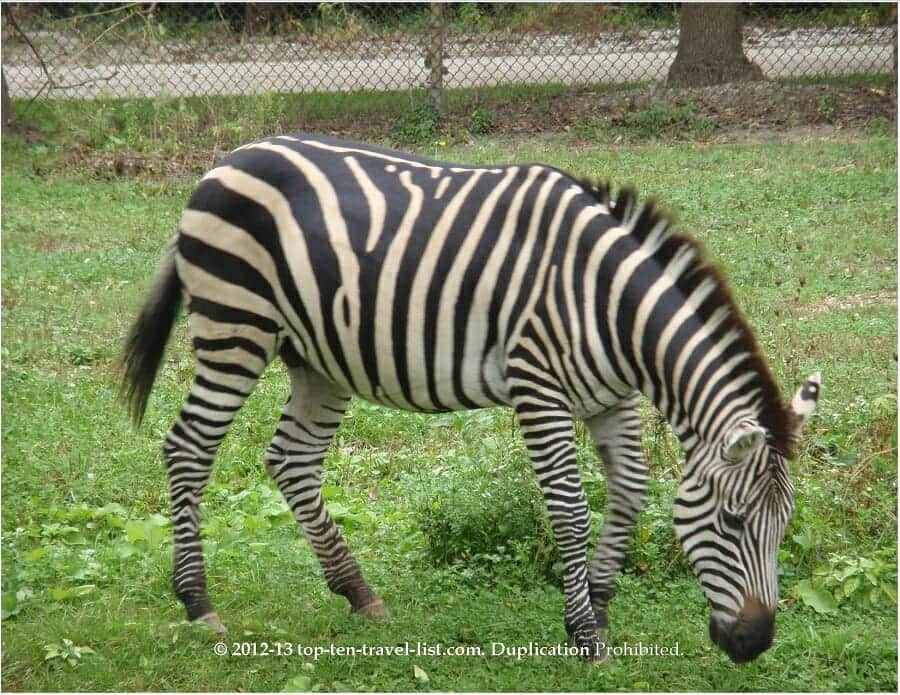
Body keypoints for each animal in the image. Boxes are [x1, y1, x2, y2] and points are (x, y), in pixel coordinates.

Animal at [121, 134, 821, 663]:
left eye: (784, 525)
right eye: (732, 522)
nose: (755, 643)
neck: (611, 306)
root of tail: (227, 159)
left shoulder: (609, 398)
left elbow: (629, 493)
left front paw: (598, 603)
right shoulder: (539, 391)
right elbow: (571, 511)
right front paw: (584, 634)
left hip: (319, 358)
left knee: (291, 461)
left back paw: (357, 591)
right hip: (235, 327)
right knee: (188, 448)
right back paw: (198, 602)